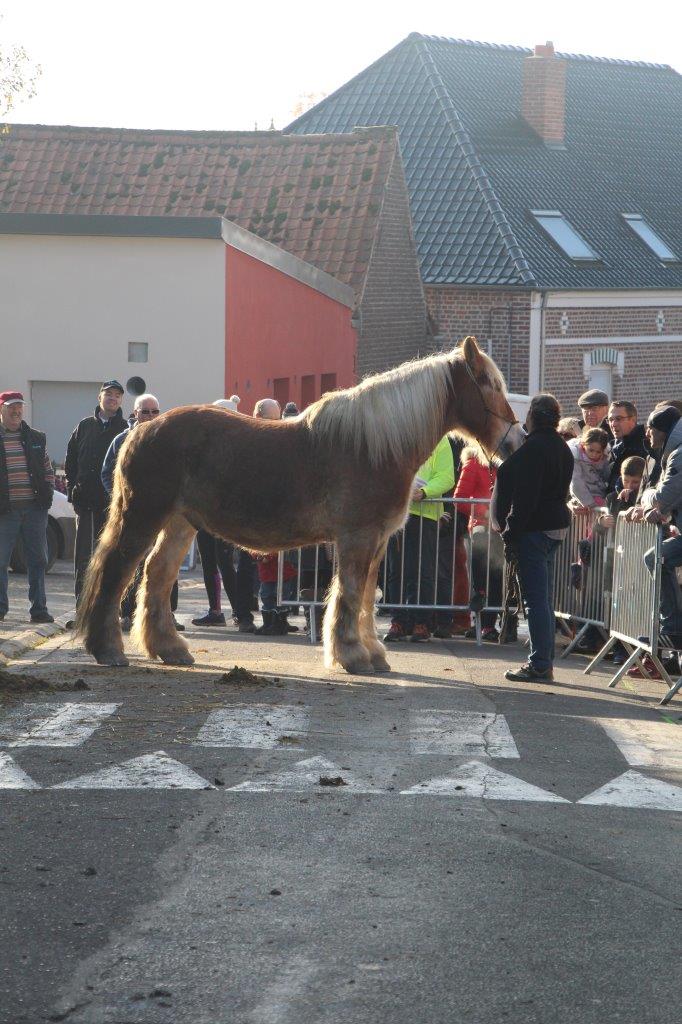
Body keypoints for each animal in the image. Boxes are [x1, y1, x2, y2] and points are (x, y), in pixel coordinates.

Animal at [79, 333, 522, 671]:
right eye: (487, 383)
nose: (515, 442)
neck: (374, 446)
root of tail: (140, 429)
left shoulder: (378, 541)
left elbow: (366, 596)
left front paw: (371, 652)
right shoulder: (357, 538)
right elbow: (349, 594)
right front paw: (352, 655)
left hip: (180, 522)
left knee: (157, 575)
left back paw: (169, 649)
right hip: (144, 517)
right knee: (117, 572)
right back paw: (109, 650)